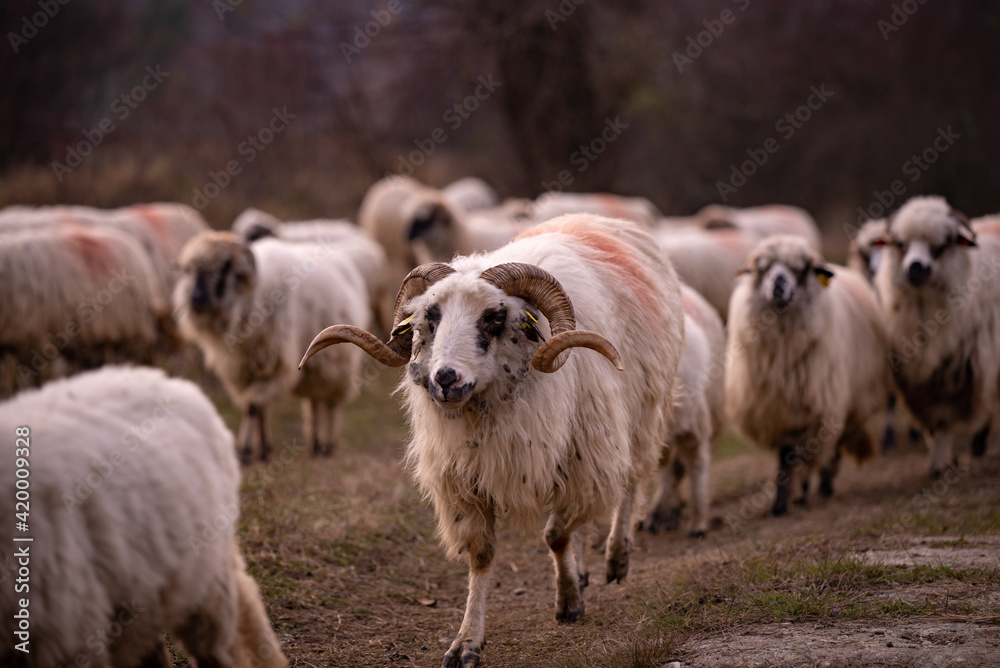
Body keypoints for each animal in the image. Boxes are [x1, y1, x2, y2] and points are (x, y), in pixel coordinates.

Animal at [174, 231, 369, 464]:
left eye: (224, 268)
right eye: (190, 270)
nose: (196, 299)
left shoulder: (273, 364)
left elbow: (253, 406)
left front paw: (245, 452)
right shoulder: (243, 369)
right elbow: (257, 408)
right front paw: (264, 450)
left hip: (340, 364)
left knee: (331, 404)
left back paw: (329, 446)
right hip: (314, 365)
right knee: (314, 401)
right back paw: (315, 445)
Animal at [300, 214, 683, 667]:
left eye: (495, 318)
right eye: (431, 316)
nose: (445, 379)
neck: (489, 411)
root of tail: (596, 218)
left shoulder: (584, 456)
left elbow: (556, 534)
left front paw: (568, 601)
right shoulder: (465, 480)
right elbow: (484, 554)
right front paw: (465, 643)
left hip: (643, 413)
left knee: (631, 482)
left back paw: (617, 557)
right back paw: (584, 569)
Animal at [726, 235, 889, 516]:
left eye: (800, 268)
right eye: (762, 268)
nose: (778, 283)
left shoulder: (815, 407)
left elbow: (800, 454)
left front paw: (796, 495)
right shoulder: (779, 409)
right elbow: (785, 456)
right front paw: (781, 503)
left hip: (849, 402)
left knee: (835, 445)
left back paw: (826, 483)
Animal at [873, 196, 1000, 476]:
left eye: (941, 245)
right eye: (901, 243)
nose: (915, 268)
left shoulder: (957, 370)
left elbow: (944, 418)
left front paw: (940, 464)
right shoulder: (921, 378)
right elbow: (933, 420)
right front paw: (939, 456)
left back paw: (979, 443)